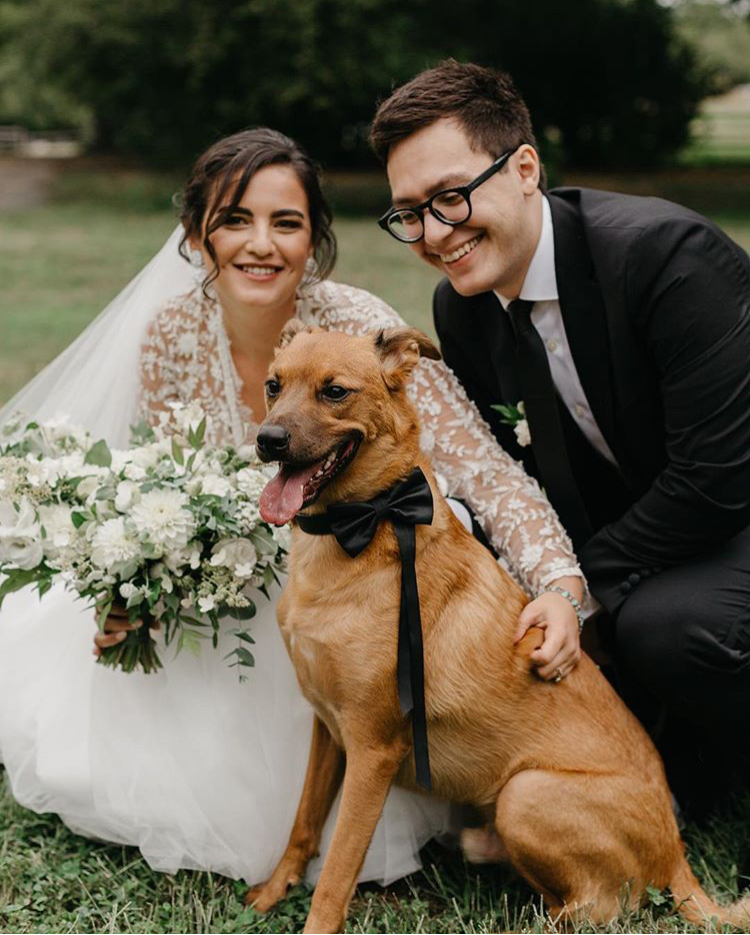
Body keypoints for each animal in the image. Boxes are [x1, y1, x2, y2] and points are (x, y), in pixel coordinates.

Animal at [250, 324, 748, 935]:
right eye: (274, 385)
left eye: (335, 392)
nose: (268, 440)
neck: (363, 528)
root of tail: (677, 853)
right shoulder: (327, 727)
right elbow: (302, 824)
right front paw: (270, 895)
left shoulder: (373, 748)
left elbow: (339, 868)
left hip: (524, 792)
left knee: (600, 907)